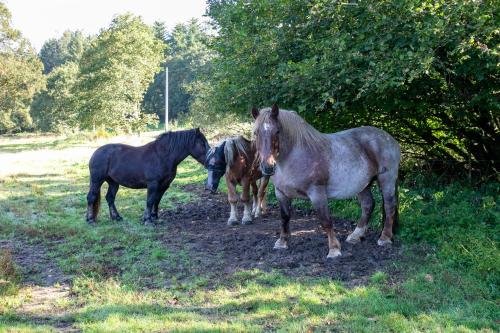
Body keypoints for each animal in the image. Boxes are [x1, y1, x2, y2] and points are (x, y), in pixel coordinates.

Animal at [252, 105, 400, 258]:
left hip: (387, 179)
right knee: (368, 205)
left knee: (389, 206)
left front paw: (334, 249)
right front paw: (282, 242)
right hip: (363, 185)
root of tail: (389, 138)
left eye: (277, 131)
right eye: (256, 133)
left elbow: (326, 221)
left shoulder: (317, 193)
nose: (267, 167)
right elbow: (284, 217)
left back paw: (385, 238)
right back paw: (355, 236)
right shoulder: (281, 193)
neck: (293, 157)